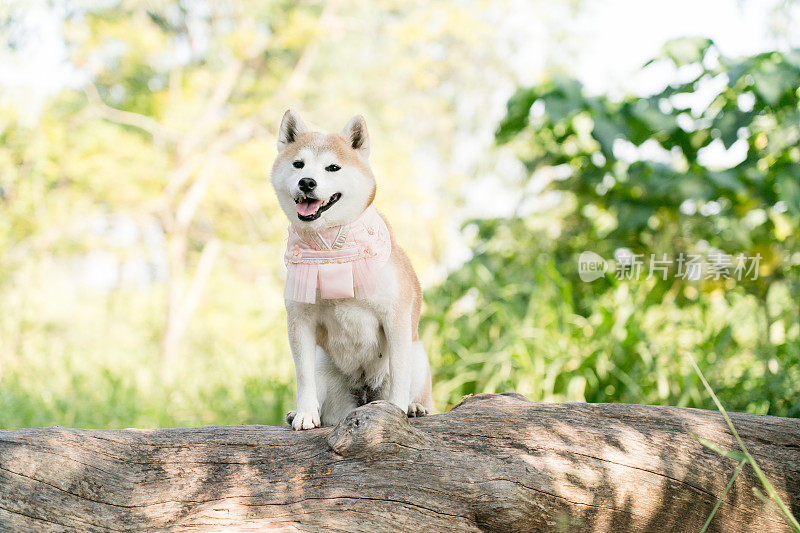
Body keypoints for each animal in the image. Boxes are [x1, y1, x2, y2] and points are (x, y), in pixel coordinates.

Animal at [270, 110, 434, 430]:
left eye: (333, 167)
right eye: (298, 164)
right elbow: (303, 378)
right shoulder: (300, 321)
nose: (307, 182)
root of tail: (364, 392)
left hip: (418, 353)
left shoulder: (395, 317)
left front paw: (397, 410)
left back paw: (414, 406)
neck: (332, 253)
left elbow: (400, 375)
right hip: (325, 368)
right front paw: (305, 413)